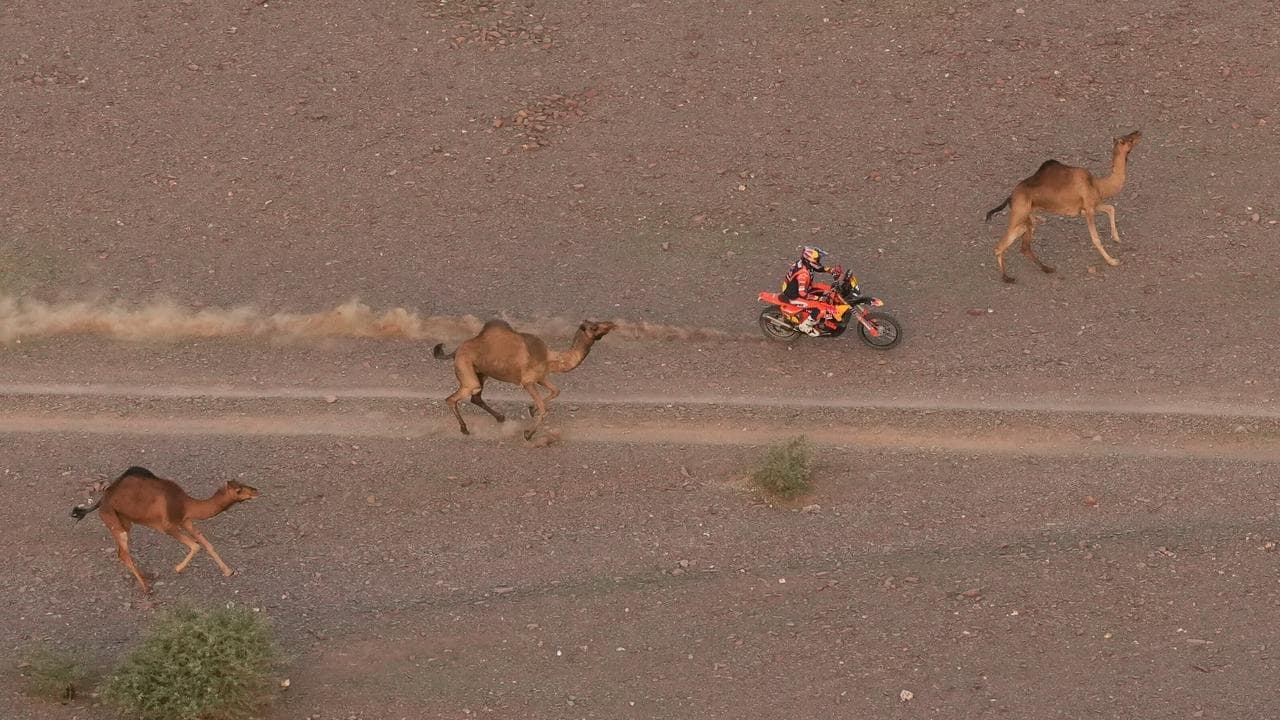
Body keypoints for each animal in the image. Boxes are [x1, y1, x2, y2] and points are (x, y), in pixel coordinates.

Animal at [71, 466, 259, 593]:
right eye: (239, 490)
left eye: (243, 483)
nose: (255, 490)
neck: (186, 504)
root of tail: (102, 500)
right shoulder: (168, 526)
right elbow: (195, 545)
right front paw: (177, 568)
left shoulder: (185, 521)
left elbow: (206, 544)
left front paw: (229, 571)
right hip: (112, 519)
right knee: (123, 553)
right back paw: (146, 588)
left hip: (124, 521)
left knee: (121, 551)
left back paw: (146, 577)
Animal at [432, 319, 616, 439]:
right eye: (594, 326)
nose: (611, 324)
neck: (550, 358)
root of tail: (455, 350)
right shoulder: (527, 381)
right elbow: (544, 408)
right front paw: (528, 433)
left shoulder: (541, 377)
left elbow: (556, 391)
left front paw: (531, 409)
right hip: (466, 368)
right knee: (455, 397)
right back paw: (464, 429)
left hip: (481, 372)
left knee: (476, 396)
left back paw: (500, 418)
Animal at [985, 130, 1142, 283]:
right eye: (1128, 139)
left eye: (1128, 135)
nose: (1138, 132)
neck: (1099, 185)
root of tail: (1010, 197)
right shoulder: (1089, 209)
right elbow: (1096, 238)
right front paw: (1113, 261)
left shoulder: (1088, 207)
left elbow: (1110, 208)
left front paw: (1117, 238)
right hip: (1019, 212)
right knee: (1000, 246)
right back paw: (1007, 278)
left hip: (1029, 218)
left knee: (1024, 246)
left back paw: (1047, 268)